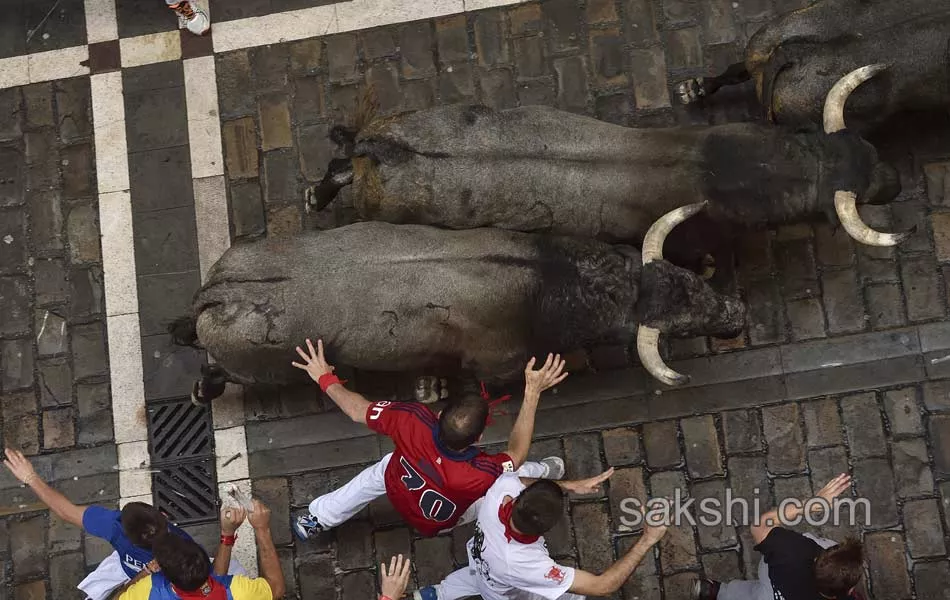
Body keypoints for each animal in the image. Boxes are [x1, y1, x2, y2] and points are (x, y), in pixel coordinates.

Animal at [175, 220, 748, 394]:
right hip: (257, 368)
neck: (545, 282)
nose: (737, 314)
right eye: (679, 327)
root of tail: (215, 293)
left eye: (690, 281)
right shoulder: (495, 365)